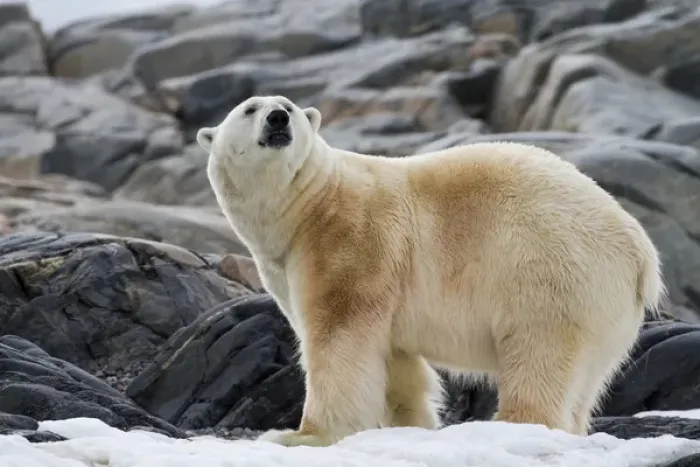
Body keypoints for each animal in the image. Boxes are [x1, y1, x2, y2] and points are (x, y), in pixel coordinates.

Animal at [195, 95, 665, 448]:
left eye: (289, 107)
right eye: (250, 109)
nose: (278, 118)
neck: (309, 204)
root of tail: (640, 250)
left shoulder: (350, 241)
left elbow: (339, 340)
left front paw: (300, 435)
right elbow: (396, 360)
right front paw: (410, 425)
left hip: (550, 267)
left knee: (541, 350)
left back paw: (513, 425)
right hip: (603, 309)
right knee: (584, 382)